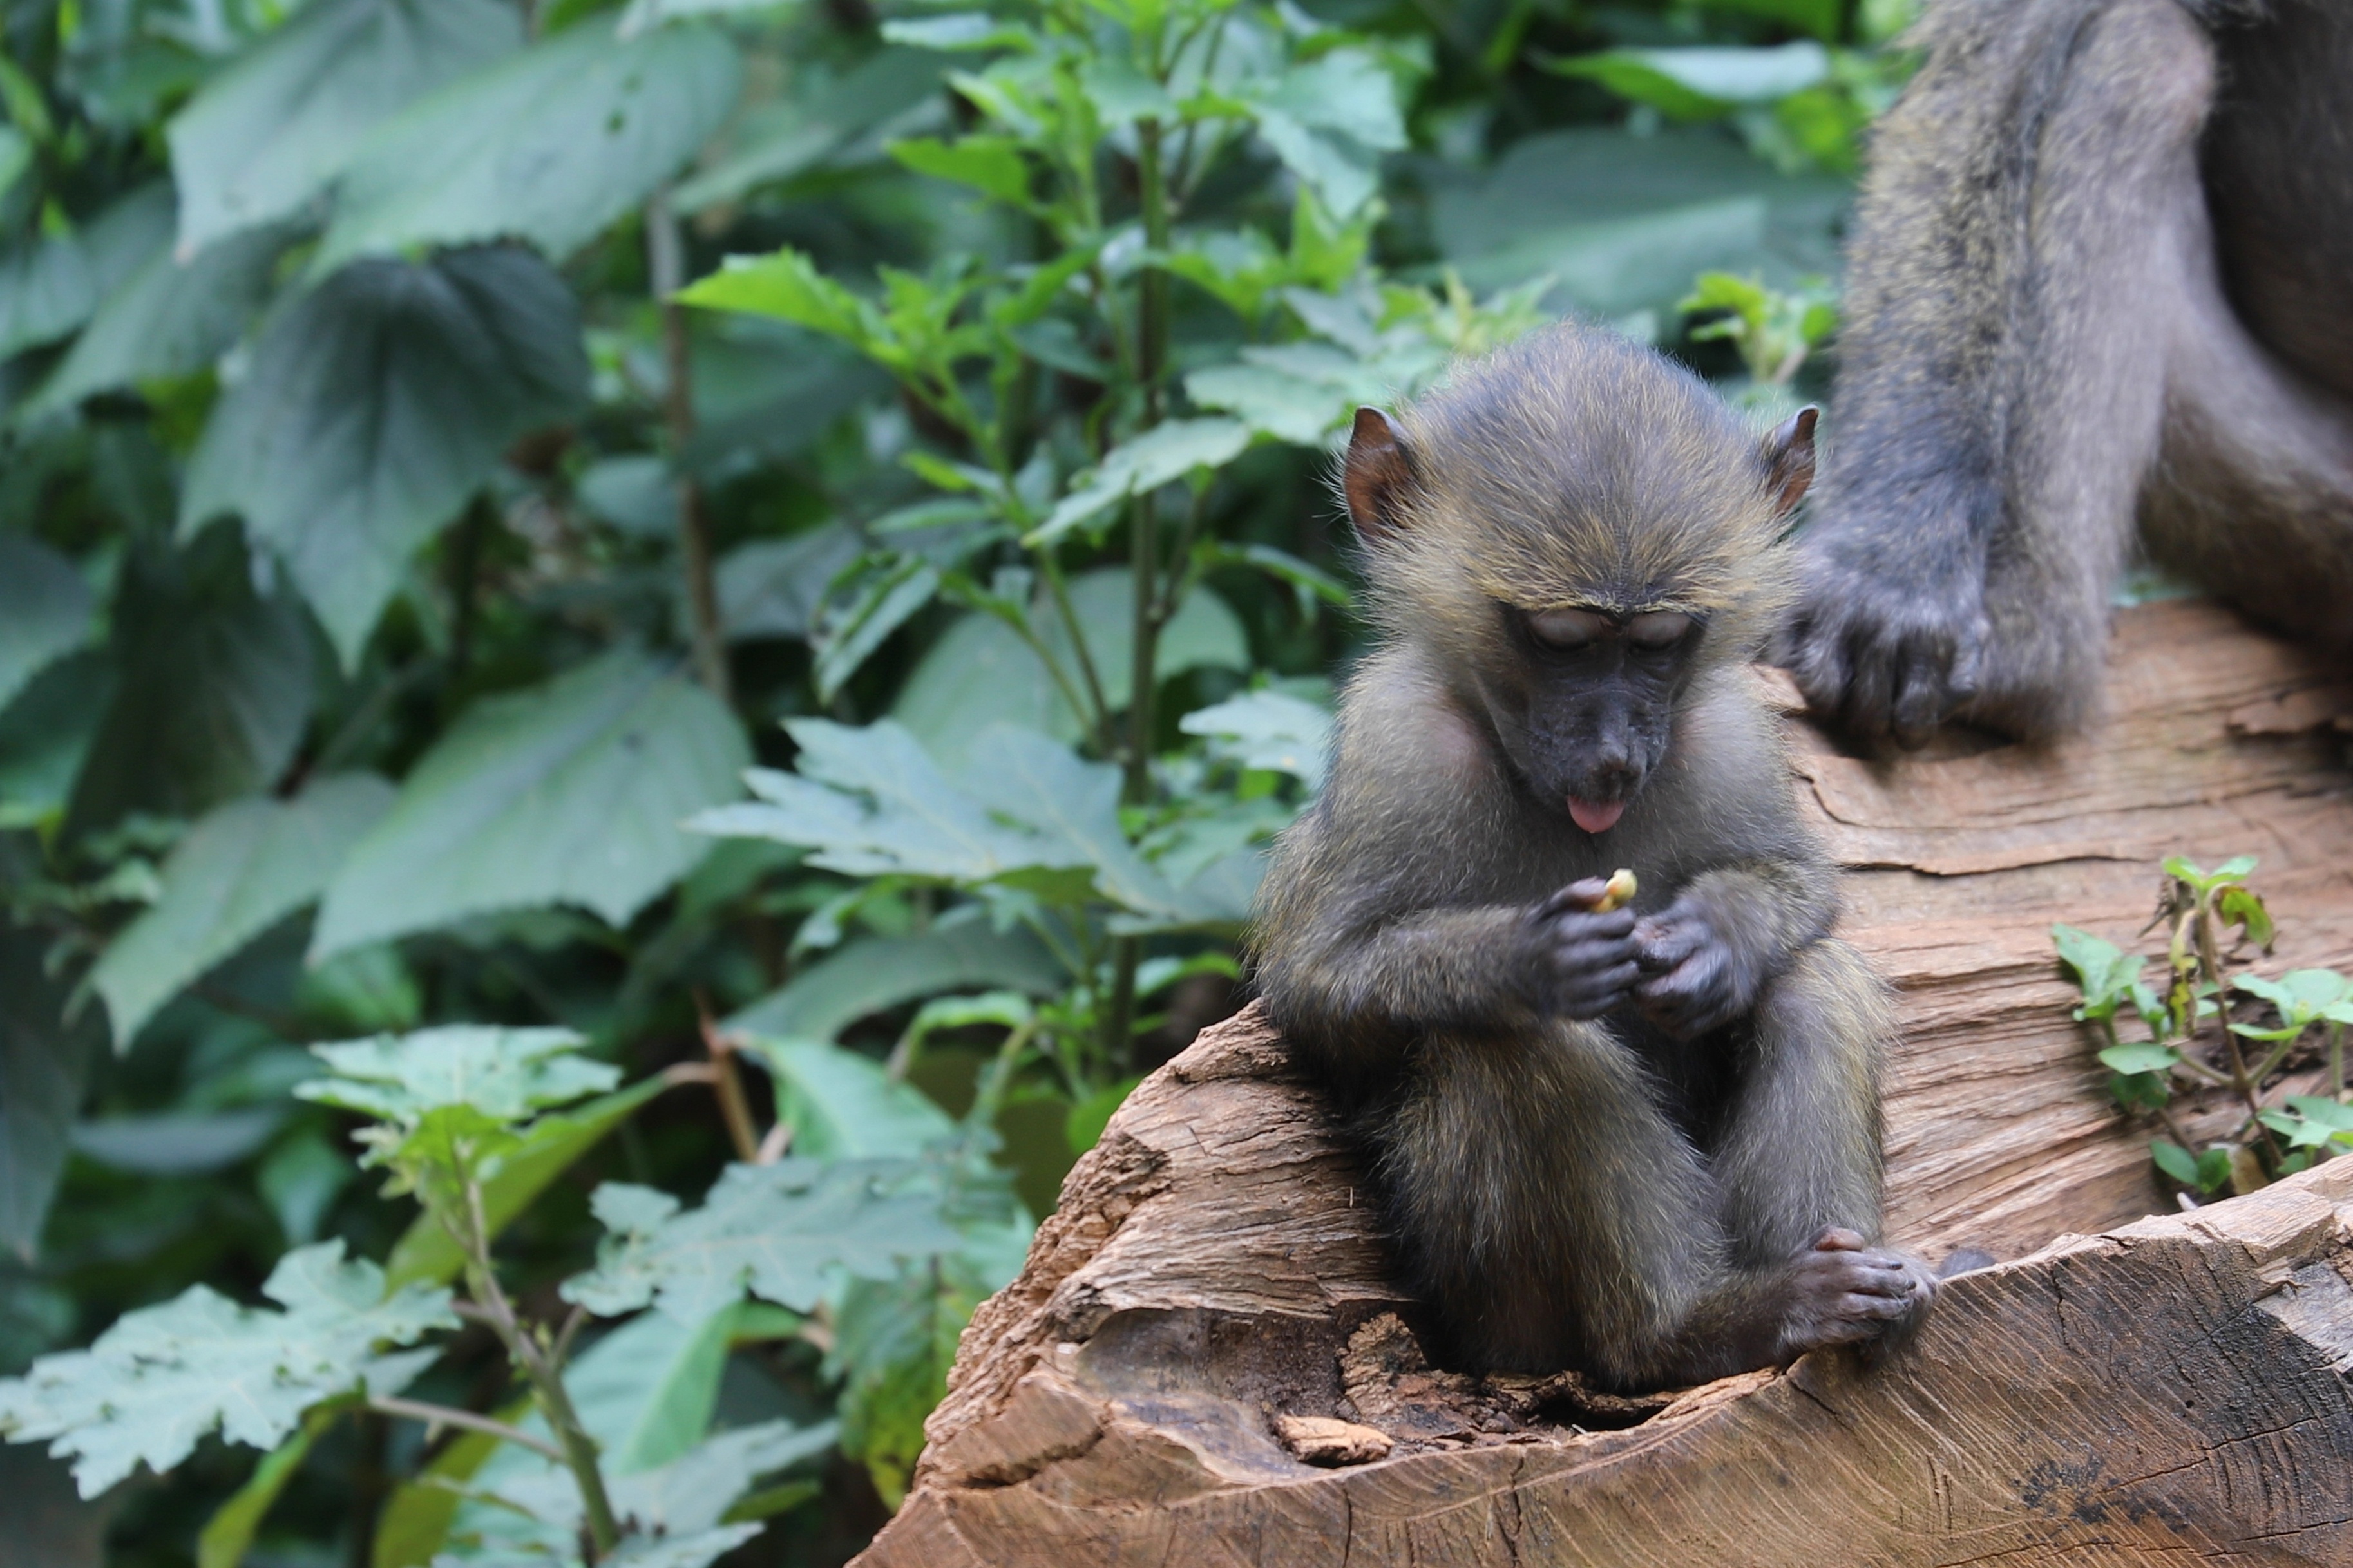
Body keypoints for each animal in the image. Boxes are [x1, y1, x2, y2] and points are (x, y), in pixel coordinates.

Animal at [1252, 322, 1934, 1391]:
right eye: (1560, 638)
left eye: (1660, 639)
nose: (1612, 755)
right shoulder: (1398, 743)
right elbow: (1319, 989)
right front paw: (1528, 956)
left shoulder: (1727, 729)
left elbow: (1802, 888)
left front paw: (1716, 941)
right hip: (1502, 1319)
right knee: (1521, 1043)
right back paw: (1691, 1329)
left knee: (1810, 983)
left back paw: (1831, 1293)